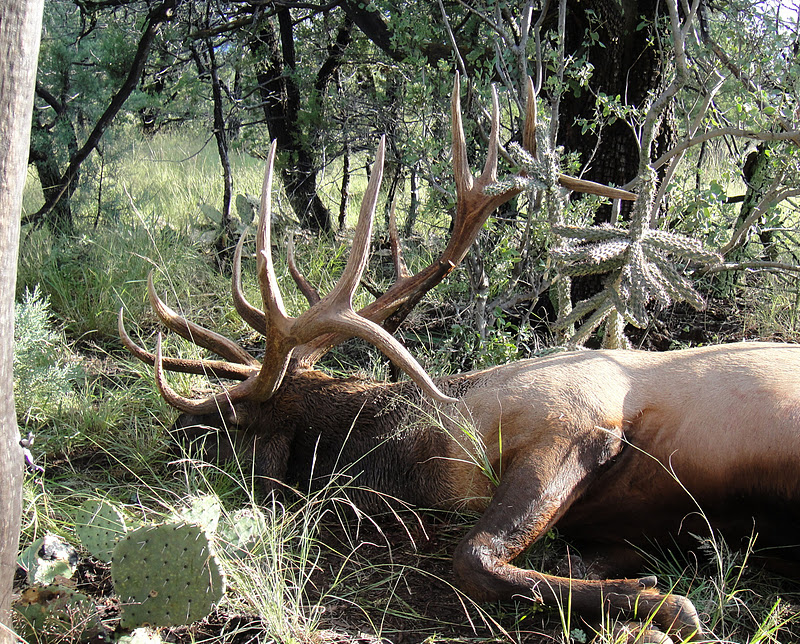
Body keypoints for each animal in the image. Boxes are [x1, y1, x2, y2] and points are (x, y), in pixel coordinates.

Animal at [119, 76, 800, 641]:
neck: (423, 448)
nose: (171, 432)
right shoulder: (623, 518)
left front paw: (663, 606)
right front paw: (642, 594)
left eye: (222, 424)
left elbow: (471, 558)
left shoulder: (575, 423)